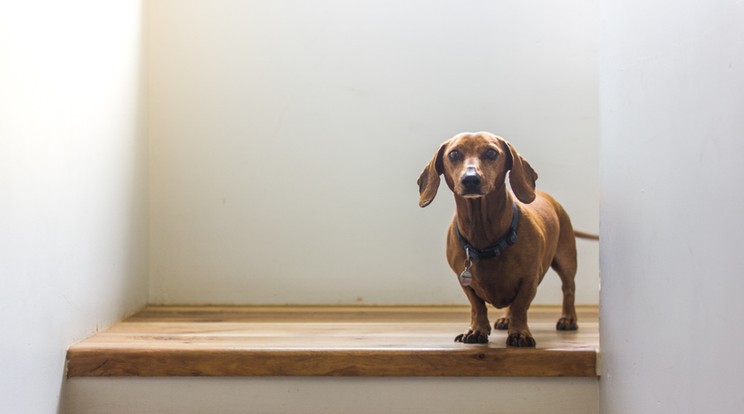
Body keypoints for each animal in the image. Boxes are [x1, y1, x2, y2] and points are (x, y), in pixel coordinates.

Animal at [416, 132, 588, 346]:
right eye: (454, 154)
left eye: (491, 152)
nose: (470, 179)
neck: (484, 235)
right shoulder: (464, 280)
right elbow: (477, 306)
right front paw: (477, 330)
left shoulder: (529, 279)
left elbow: (520, 305)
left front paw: (520, 333)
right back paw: (506, 319)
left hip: (566, 260)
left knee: (568, 288)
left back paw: (568, 318)